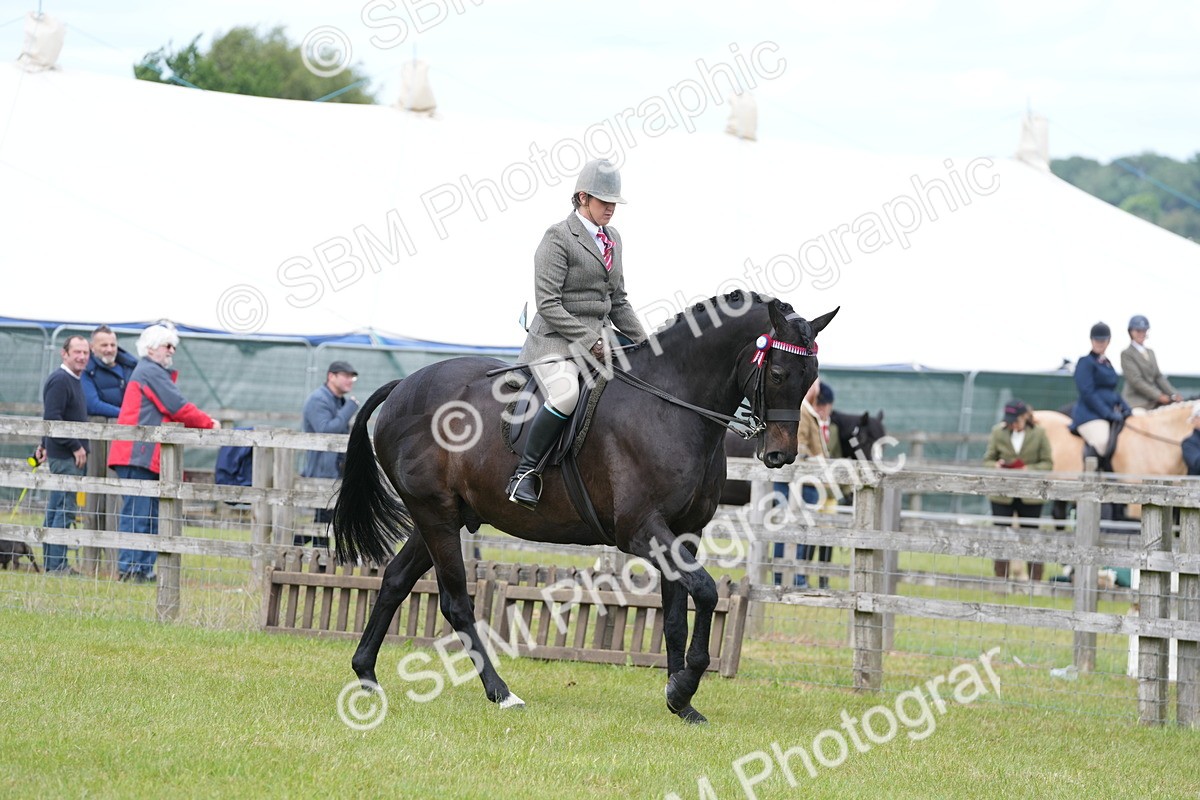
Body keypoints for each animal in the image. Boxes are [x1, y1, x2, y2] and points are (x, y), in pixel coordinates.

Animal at [332, 291, 837, 723]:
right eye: (778, 374)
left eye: (811, 377)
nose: (781, 455)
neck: (672, 406)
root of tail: (403, 385)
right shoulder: (642, 530)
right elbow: (708, 592)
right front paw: (684, 685)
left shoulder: (683, 533)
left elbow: (676, 614)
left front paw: (680, 700)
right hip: (435, 515)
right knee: (456, 603)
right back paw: (502, 693)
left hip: (440, 518)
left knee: (395, 581)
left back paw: (366, 675)